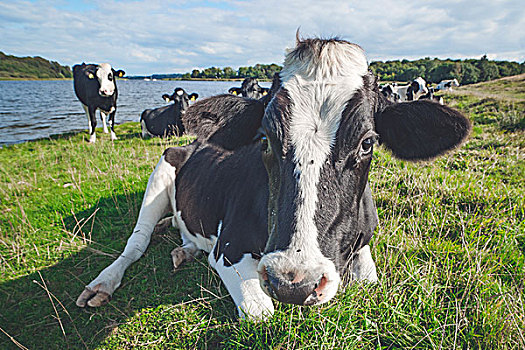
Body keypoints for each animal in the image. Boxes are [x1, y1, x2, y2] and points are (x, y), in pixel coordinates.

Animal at [74, 37, 470, 320]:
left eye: (367, 142)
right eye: (264, 138)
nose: (295, 282)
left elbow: (370, 279)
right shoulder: (229, 248)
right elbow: (260, 312)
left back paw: (182, 250)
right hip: (163, 168)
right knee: (136, 243)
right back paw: (104, 283)